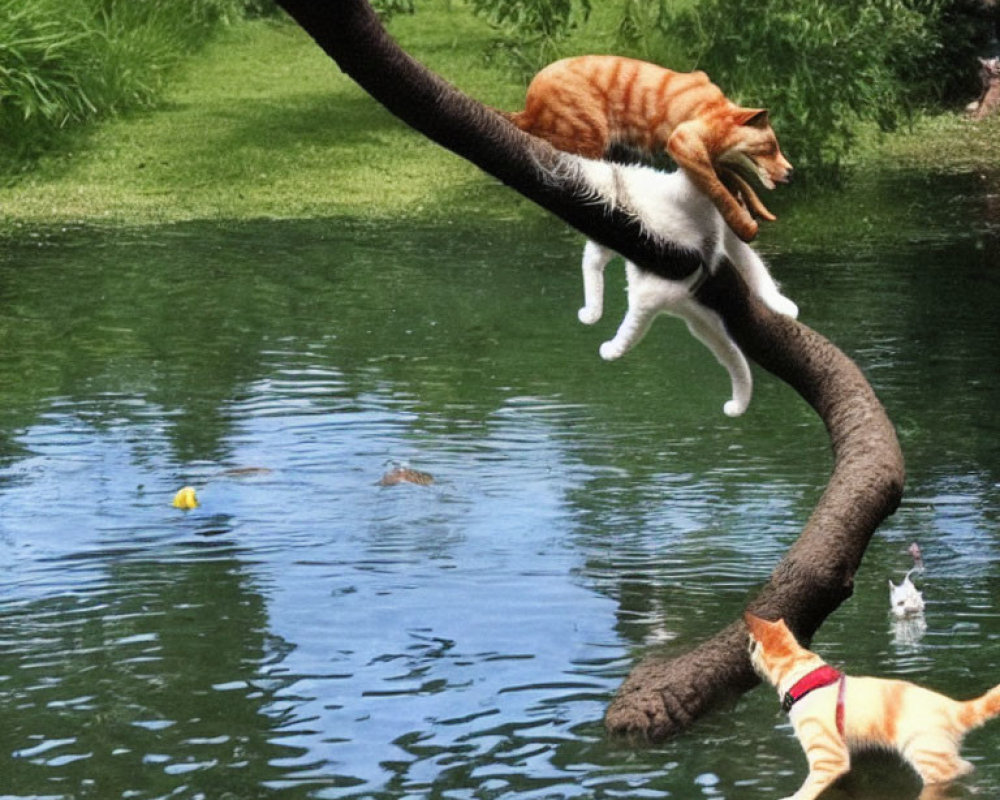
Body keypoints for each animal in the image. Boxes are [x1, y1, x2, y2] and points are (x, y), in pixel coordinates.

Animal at [504, 55, 792, 242]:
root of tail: (528, 109)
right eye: (771, 147)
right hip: (590, 136)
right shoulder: (682, 140)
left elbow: (731, 179)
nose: (790, 171)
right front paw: (746, 226)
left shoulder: (701, 153)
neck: (718, 112)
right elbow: (717, 188)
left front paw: (756, 207)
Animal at [744, 616, 1000, 796]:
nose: (747, 656)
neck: (804, 676)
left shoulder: (828, 759)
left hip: (930, 760)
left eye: (751, 645)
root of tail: (954, 707)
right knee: (969, 767)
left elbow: (804, 793)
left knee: (959, 772)